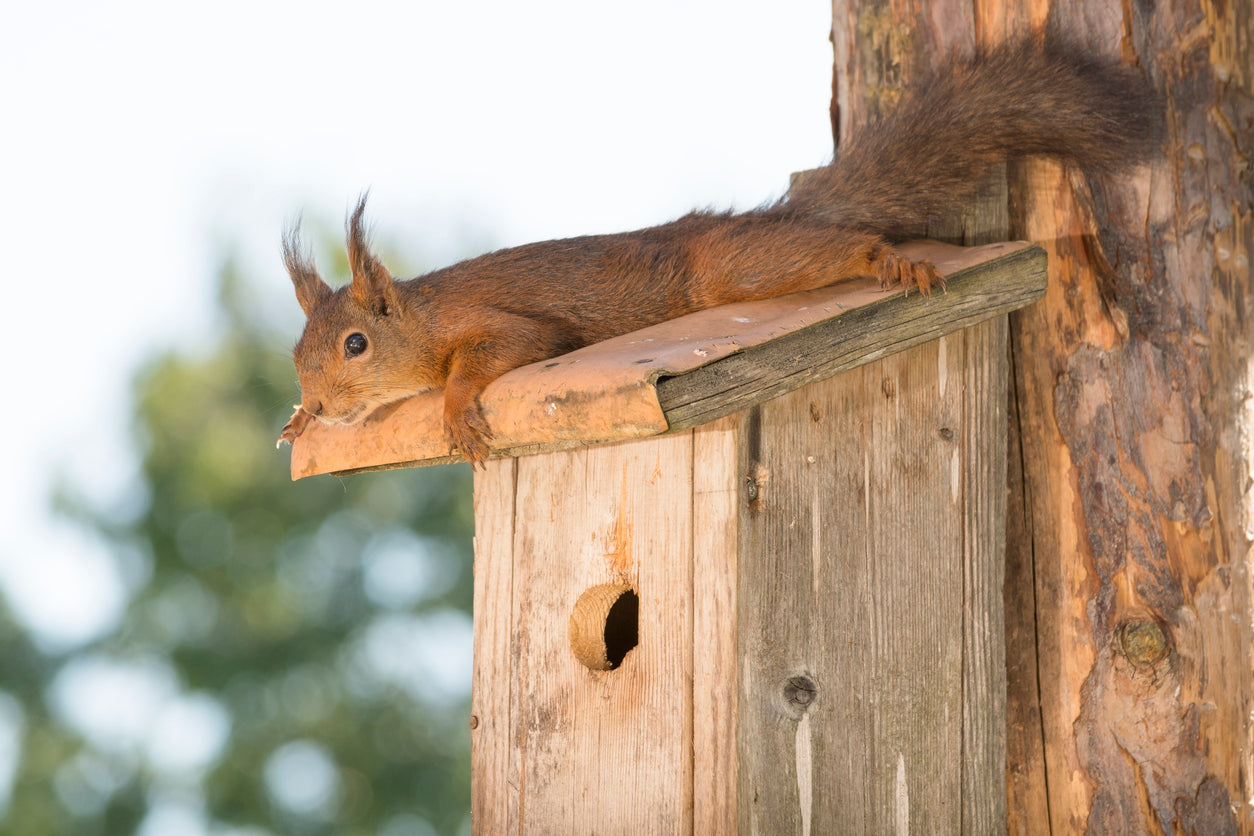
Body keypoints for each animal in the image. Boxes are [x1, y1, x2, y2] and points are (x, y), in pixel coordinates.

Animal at [282, 39, 1153, 468]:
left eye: (355, 344)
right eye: (298, 356)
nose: (320, 405)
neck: (421, 320)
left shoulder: (502, 326)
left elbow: (501, 349)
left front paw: (457, 405)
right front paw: (293, 423)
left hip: (729, 268)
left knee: (833, 246)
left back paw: (886, 262)